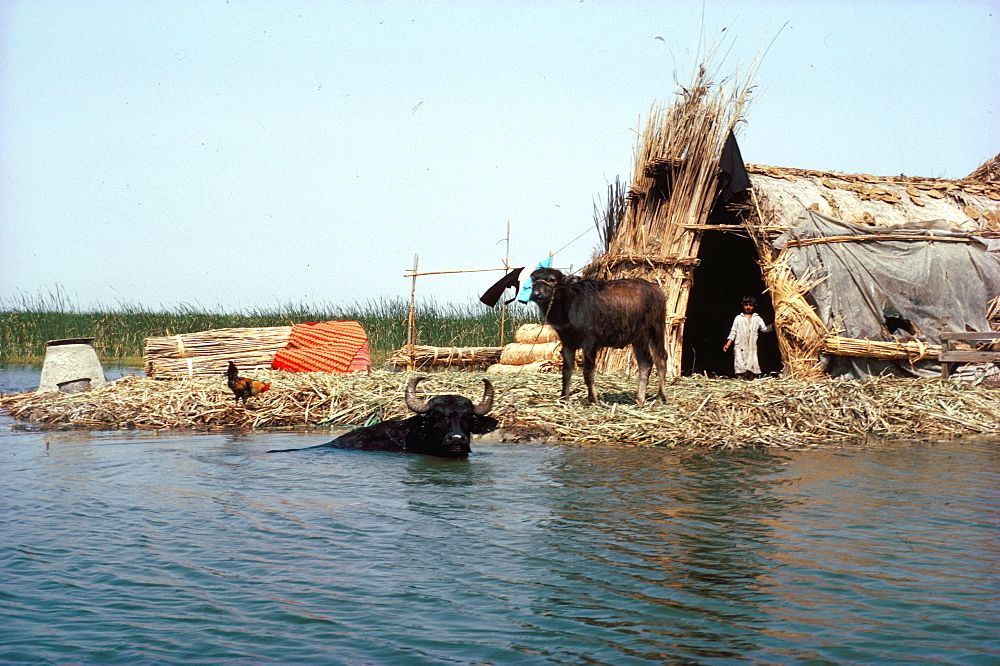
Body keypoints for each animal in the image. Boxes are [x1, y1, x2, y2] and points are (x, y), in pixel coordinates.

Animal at [528, 266, 668, 402]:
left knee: (661, 358)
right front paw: (564, 398)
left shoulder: (590, 344)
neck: (569, 305)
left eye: (552, 279)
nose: (536, 294)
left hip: (656, 329)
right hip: (638, 338)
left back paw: (661, 396)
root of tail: (657, 289)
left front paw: (593, 399)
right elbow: (566, 371)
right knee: (645, 363)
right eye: (533, 280)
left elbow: (588, 372)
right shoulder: (567, 343)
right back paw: (640, 399)